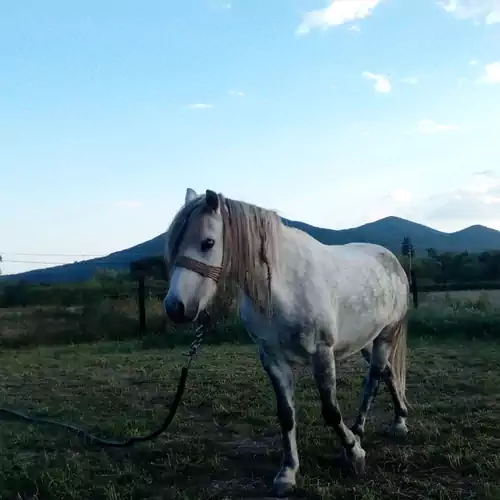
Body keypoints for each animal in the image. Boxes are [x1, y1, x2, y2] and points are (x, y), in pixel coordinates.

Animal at [162, 188, 408, 496]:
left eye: (208, 243)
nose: (175, 307)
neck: (283, 287)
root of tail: (391, 260)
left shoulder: (322, 352)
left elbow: (330, 411)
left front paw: (354, 453)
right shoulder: (272, 358)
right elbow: (286, 414)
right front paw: (288, 473)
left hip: (386, 335)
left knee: (374, 380)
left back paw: (368, 431)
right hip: (365, 340)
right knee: (387, 374)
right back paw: (396, 419)